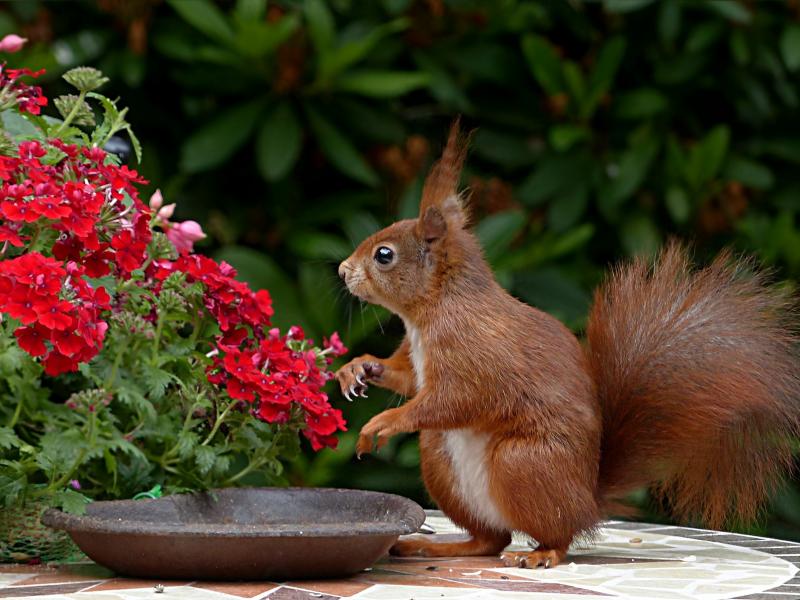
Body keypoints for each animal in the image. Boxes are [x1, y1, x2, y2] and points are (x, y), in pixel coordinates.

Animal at [335, 121, 800, 569]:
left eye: (384, 255)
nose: (341, 270)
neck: (431, 311)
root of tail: (587, 502)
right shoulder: (417, 359)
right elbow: (407, 379)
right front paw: (358, 368)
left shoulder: (474, 352)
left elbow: (455, 399)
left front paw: (384, 422)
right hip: (440, 457)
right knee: (490, 539)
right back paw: (434, 547)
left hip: (522, 463)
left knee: (554, 535)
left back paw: (540, 553)